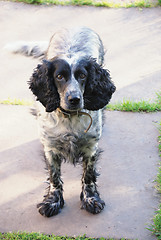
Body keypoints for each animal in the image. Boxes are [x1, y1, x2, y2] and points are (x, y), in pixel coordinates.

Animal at [8, 26, 115, 218]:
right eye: (59, 76)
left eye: (82, 75)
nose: (74, 99)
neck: (70, 118)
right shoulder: (50, 148)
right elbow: (54, 177)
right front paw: (52, 201)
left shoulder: (91, 147)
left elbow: (88, 175)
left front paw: (90, 199)